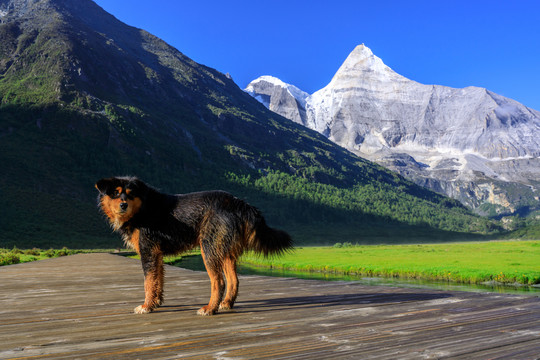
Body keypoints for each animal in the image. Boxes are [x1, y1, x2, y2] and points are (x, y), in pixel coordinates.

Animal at [95, 176, 294, 316]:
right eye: (115, 193)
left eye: (130, 193)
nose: (123, 205)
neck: (142, 208)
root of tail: (239, 203)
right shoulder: (157, 254)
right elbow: (158, 281)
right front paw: (156, 303)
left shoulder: (148, 252)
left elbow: (148, 282)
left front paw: (146, 306)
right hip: (225, 250)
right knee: (233, 280)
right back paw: (226, 303)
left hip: (209, 248)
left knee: (219, 281)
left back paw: (210, 308)